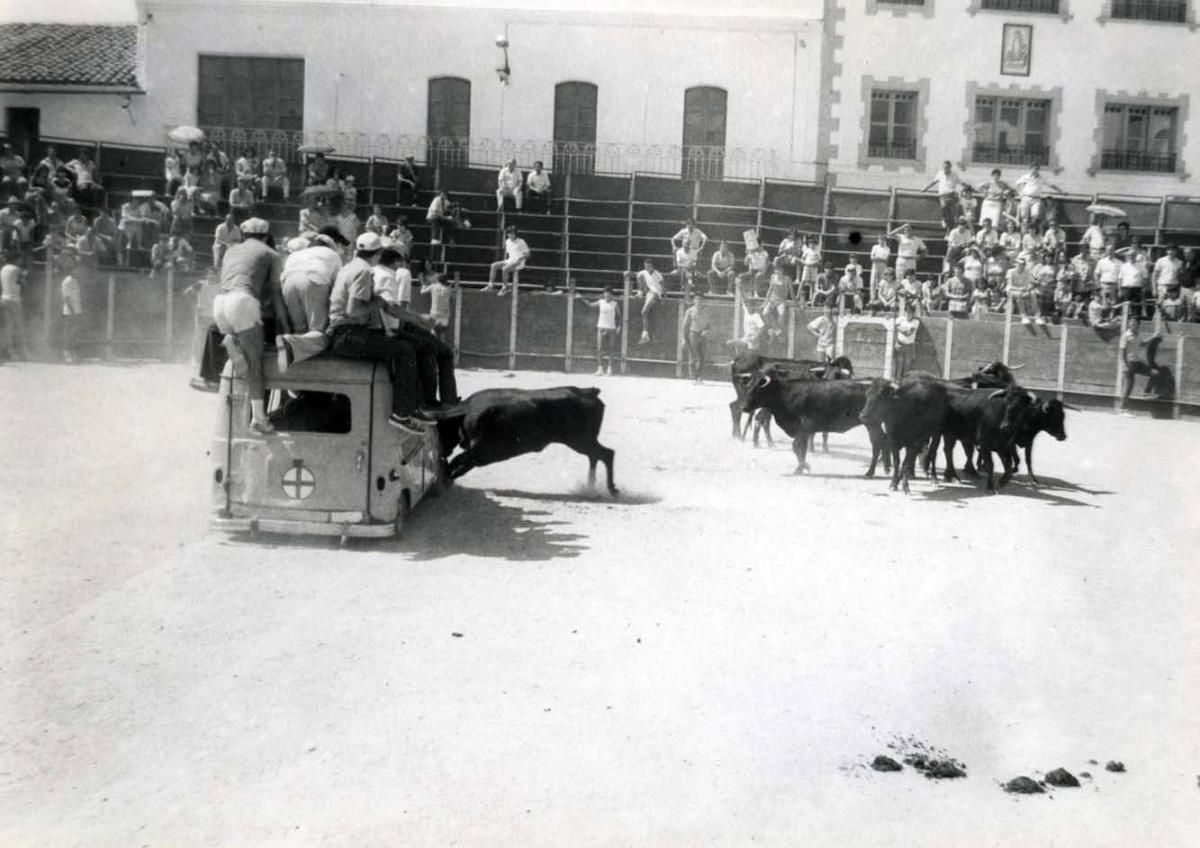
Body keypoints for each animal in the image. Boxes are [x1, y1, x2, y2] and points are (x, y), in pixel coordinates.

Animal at [432, 386, 619, 496]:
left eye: (440, 428)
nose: (441, 449)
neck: (465, 413)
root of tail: (588, 392)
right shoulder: (478, 456)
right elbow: (458, 466)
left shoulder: (481, 453)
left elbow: (456, 463)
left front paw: (444, 481)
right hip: (584, 441)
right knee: (597, 455)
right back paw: (591, 486)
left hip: (580, 440)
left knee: (606, 454)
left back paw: (611, 489)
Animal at [739, 367, 892, 477]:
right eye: (748, 386)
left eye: (757, 389)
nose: (744, 407)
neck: (786, 393)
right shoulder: (804, 432)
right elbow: (801, 449)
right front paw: (801, 468)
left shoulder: (803, 428)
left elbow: (796, 447)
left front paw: (804, 466)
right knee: (883, 440)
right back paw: (884, 468)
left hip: (871, 423)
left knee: (878, 443)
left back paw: (871, 471)